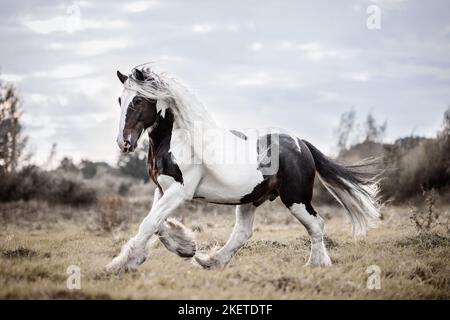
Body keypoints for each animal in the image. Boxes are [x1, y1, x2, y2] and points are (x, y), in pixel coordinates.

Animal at [104, 66, 380, 274]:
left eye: (138, 100)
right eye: (119, 100)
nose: (124, 143)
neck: (177, 142)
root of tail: (301, 144)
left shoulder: (179, 191)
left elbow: (149, 223)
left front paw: (119, 265)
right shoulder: (162, 190)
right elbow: (156, 224)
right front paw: (185, 248)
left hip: (296, 198)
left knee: (316, 224)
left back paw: (316, 264)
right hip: (250, 198)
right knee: (243, 234)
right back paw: (210, 261)